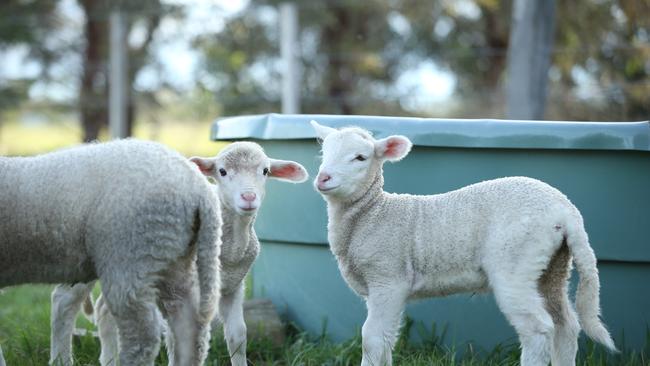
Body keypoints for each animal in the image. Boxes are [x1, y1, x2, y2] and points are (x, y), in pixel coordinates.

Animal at [49, 141, 308, 366]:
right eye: (222, 171)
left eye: (265, 171)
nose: (248, 197)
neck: (230, 247)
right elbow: (182, 339)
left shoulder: (234, 287)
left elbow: (238, 335)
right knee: (64, 301)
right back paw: (61, 358)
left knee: (103, 308)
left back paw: (109, 360)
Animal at [312, 121, 616, 366]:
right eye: (324, 154)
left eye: (360, 157)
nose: (323, 177)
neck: (373, 212)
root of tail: (566, 211)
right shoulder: (380, 288)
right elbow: (385, 341)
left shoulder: (388, 279)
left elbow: (372, 339)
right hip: (552, 267)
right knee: (566, 325)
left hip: (516, 263)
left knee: (538, 328)